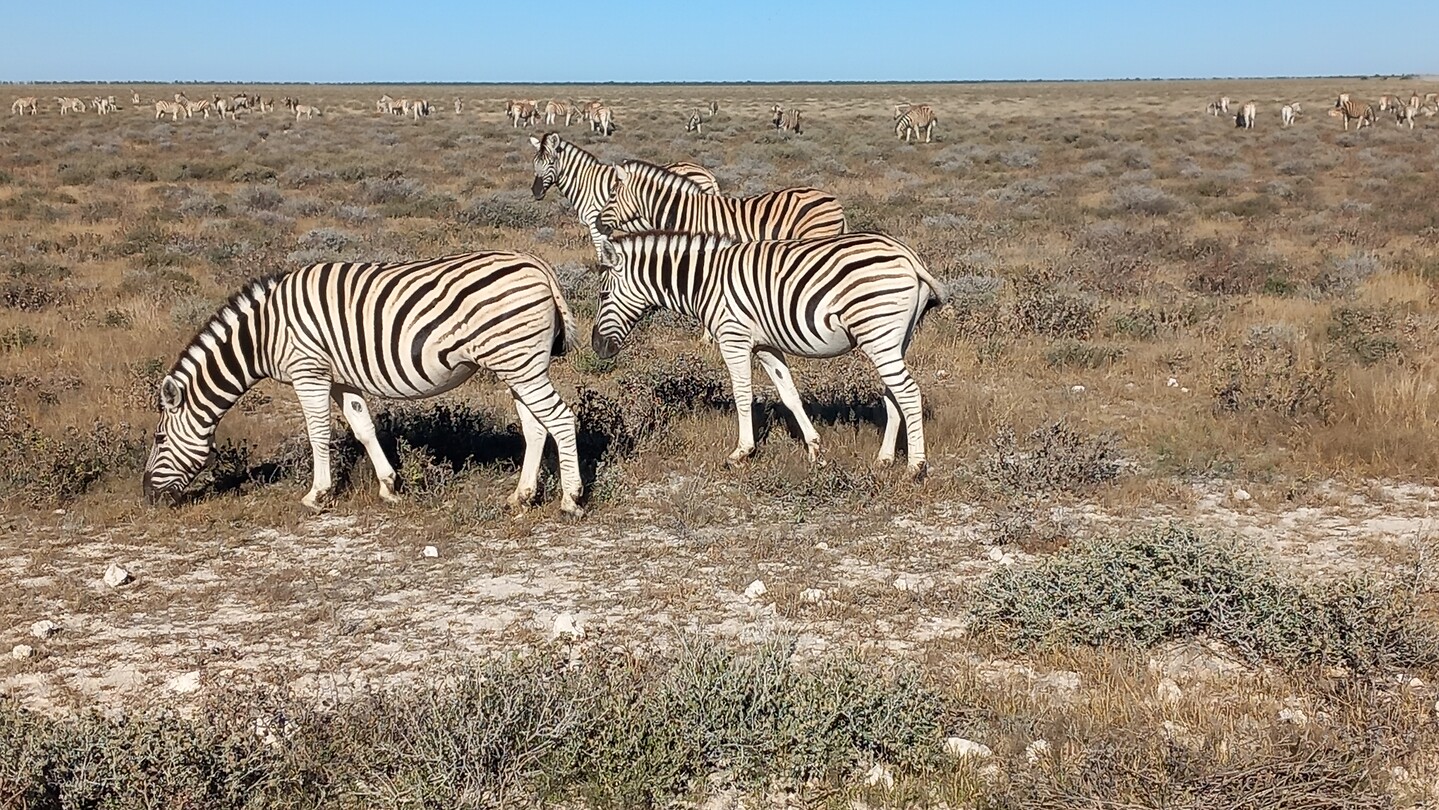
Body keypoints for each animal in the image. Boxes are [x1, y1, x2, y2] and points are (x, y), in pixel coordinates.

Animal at [143, 252, 584, 515]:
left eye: (160, 439)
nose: (147, 496)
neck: (265, 332)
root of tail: (536, 265)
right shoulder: (340, 379)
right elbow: (363, 428)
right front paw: (390, 486)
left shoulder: (308, 371)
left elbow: (318, 434)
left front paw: (316, 496)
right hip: (518, 365)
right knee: (536, 426)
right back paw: (522, 497)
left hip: (519, 361)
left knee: (561, 419)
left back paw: (571, 499)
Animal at [529, 132, 721, 261]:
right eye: (534, 162)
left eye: (551, 162)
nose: (536, 192)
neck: (584, 181)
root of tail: (707, 173)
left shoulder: (595, 224)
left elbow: (602, 256)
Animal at [592, 231, 944, 478]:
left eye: (604, 294)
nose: (597, 347)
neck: (705, 282)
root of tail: (906, 254)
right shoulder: (766, 346)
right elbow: (789, 395)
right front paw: (815, 450)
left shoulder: (734, 339)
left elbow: (742, 394)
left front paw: (741, 453)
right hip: (895, 339)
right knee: (894, 394)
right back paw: (884, 459)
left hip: (878, 333)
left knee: (908, 392)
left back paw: (915, 467)